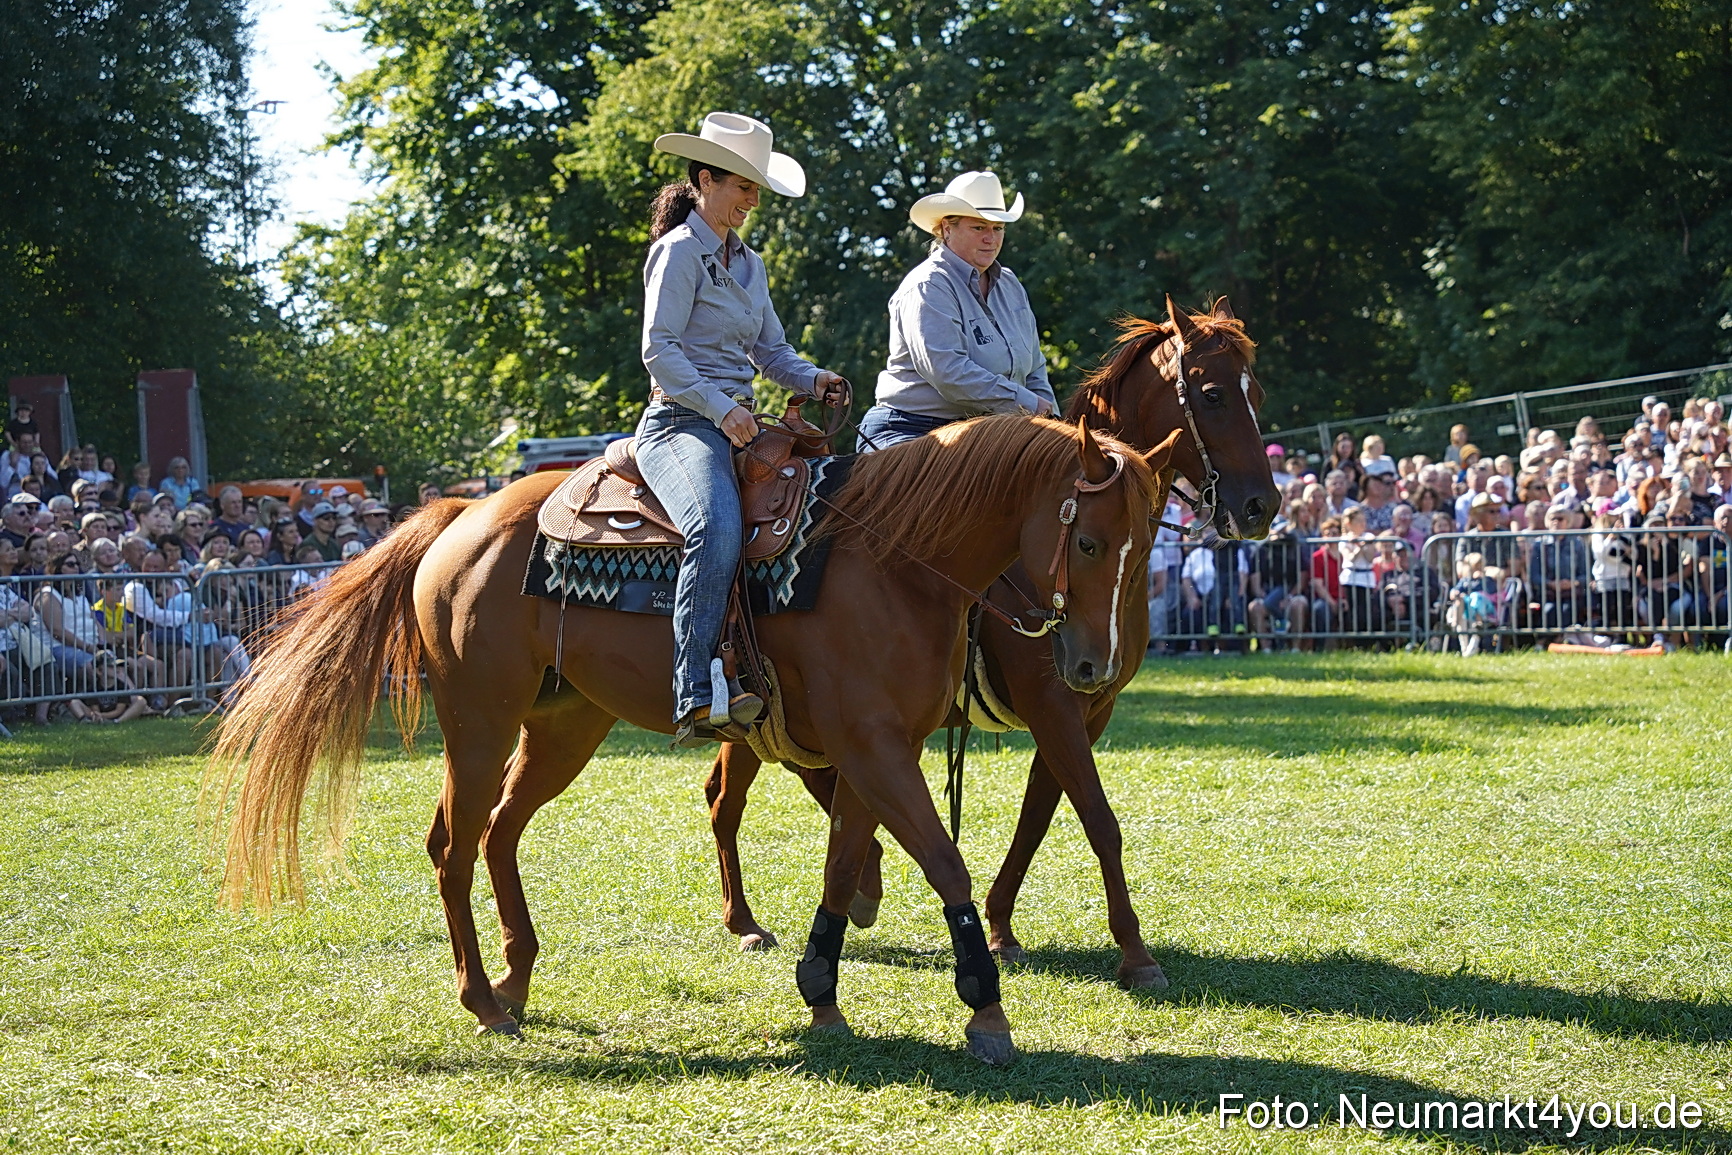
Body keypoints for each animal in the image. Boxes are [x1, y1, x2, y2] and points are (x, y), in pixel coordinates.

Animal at [209, 414, 1174, 1064]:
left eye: (1143, 544)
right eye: (1090, 540)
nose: (1091, 663)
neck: (893, 562)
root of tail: (459, 516)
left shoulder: (874, 748)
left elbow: (843, 864)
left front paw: (822, 992)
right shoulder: (875, 746)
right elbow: (946, 862)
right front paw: (986, 1007)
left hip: (564, 726)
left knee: (501, 832)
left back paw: (518, 977)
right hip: (478, 723)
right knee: (453, 841)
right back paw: (481, 997)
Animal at [703, 297, 1279, 992]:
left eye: (1256, 392)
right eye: (1213, 394)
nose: (1262, 505)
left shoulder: (1090, 706)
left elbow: (1039, 816)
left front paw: (1000, 926)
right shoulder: (1049, 703)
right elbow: (1098, 819)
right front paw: (1135, 954)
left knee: (767, 784)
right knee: (732, 797)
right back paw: (749, 920)